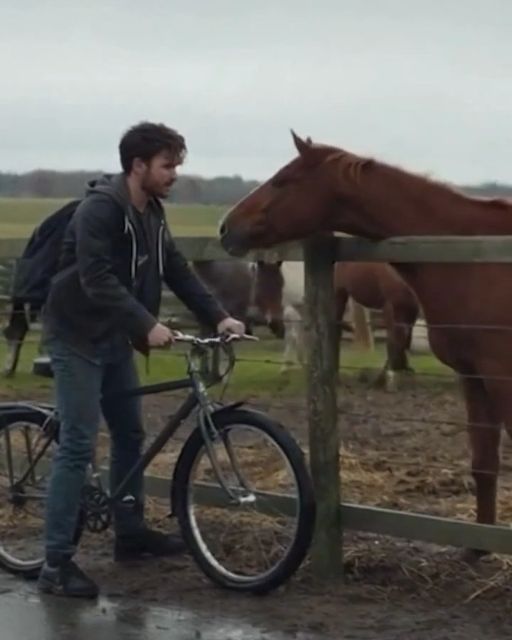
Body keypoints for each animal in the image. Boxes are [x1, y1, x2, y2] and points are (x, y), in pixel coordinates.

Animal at [219, 130, 512, 543]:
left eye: (283, 180)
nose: (226, 227)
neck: (474, 257)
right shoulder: (473, 376)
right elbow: (484, 464)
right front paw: (476, 548)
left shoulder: (502, 376)